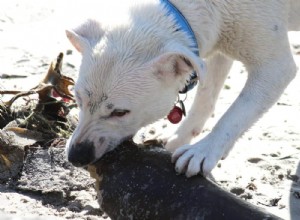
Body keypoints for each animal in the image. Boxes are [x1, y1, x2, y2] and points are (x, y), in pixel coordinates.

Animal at [65, 0, 300, 176]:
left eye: (120, 112)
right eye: (78, 99)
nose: (75, 156)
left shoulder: (274, 68)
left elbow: (236, 114)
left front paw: (203, 151)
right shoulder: (218, 47)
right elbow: (206, 96)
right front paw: (179, 138)